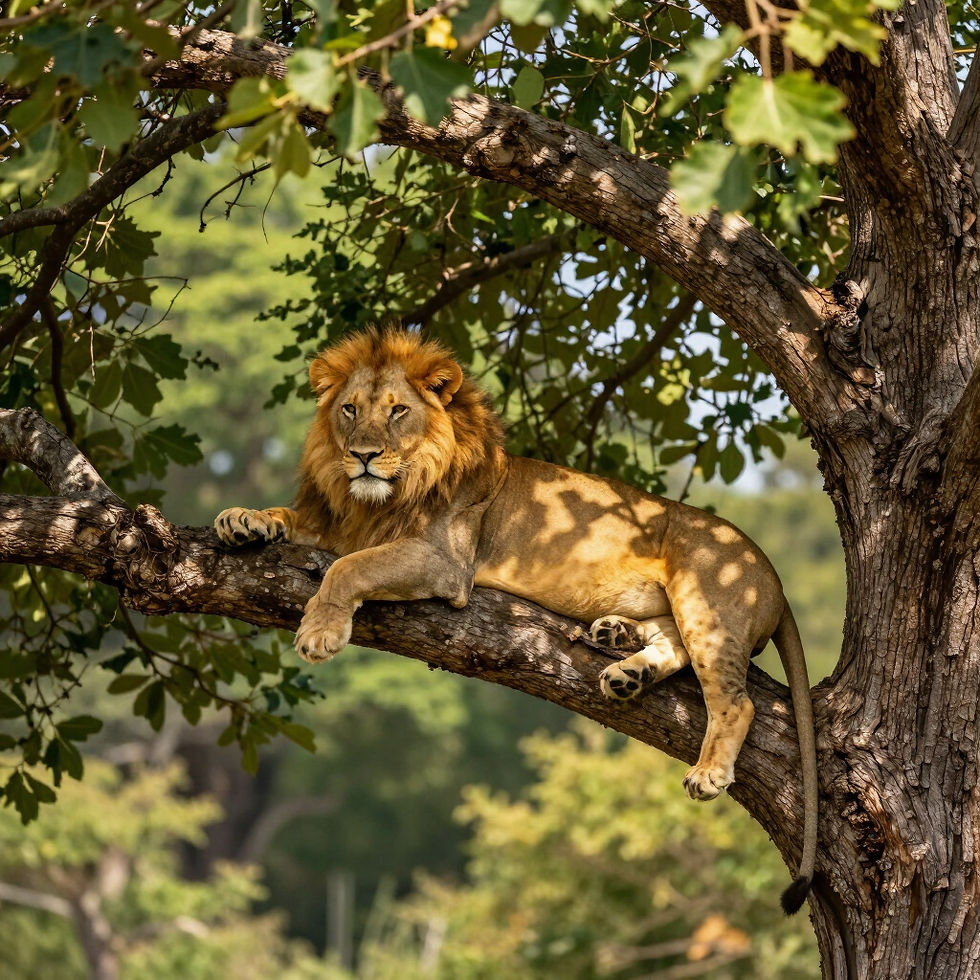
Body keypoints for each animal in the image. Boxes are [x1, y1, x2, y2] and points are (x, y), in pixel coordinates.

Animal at [214, 326, 818, 913]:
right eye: (349, 410)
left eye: (397, 411)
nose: (363, 455)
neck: (380, 496)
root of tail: (773, 574)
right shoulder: (346, 522)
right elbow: (298, 522)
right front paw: (242, 519)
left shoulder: (442, 559)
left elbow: (346, 568)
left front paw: (319, 631)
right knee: (675, 647)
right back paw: (623, 660)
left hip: (704, 596)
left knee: (735, 699)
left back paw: (707, 769)